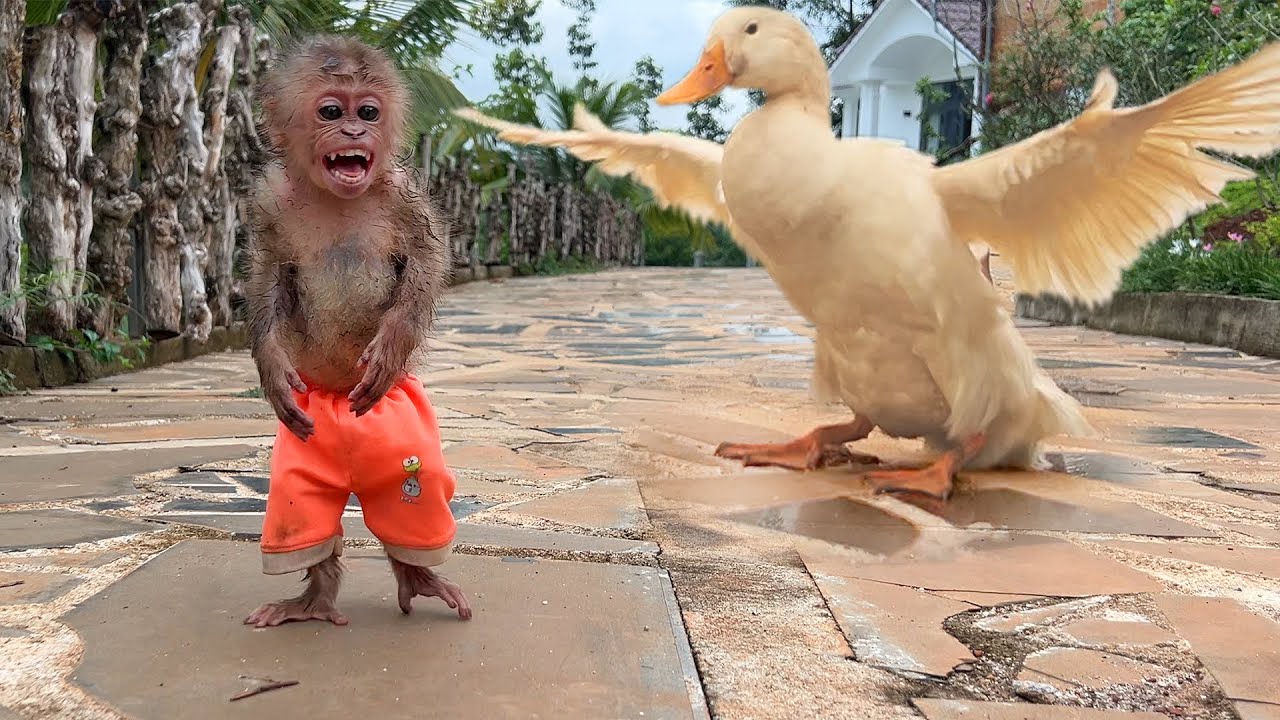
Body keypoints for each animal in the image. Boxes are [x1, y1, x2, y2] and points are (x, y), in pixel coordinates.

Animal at [242, 36, 470, 628]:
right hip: (306, 437)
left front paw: (392, 343)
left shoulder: (401, 190)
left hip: (402, 436)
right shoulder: (268, 199)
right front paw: (270, 364)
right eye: (331, 112)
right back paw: (313, 601)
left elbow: (428, 258)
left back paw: (418, 578)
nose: (352, 134)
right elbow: (264, 275)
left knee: (412, 500)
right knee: (302, 510)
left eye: (367, 112)